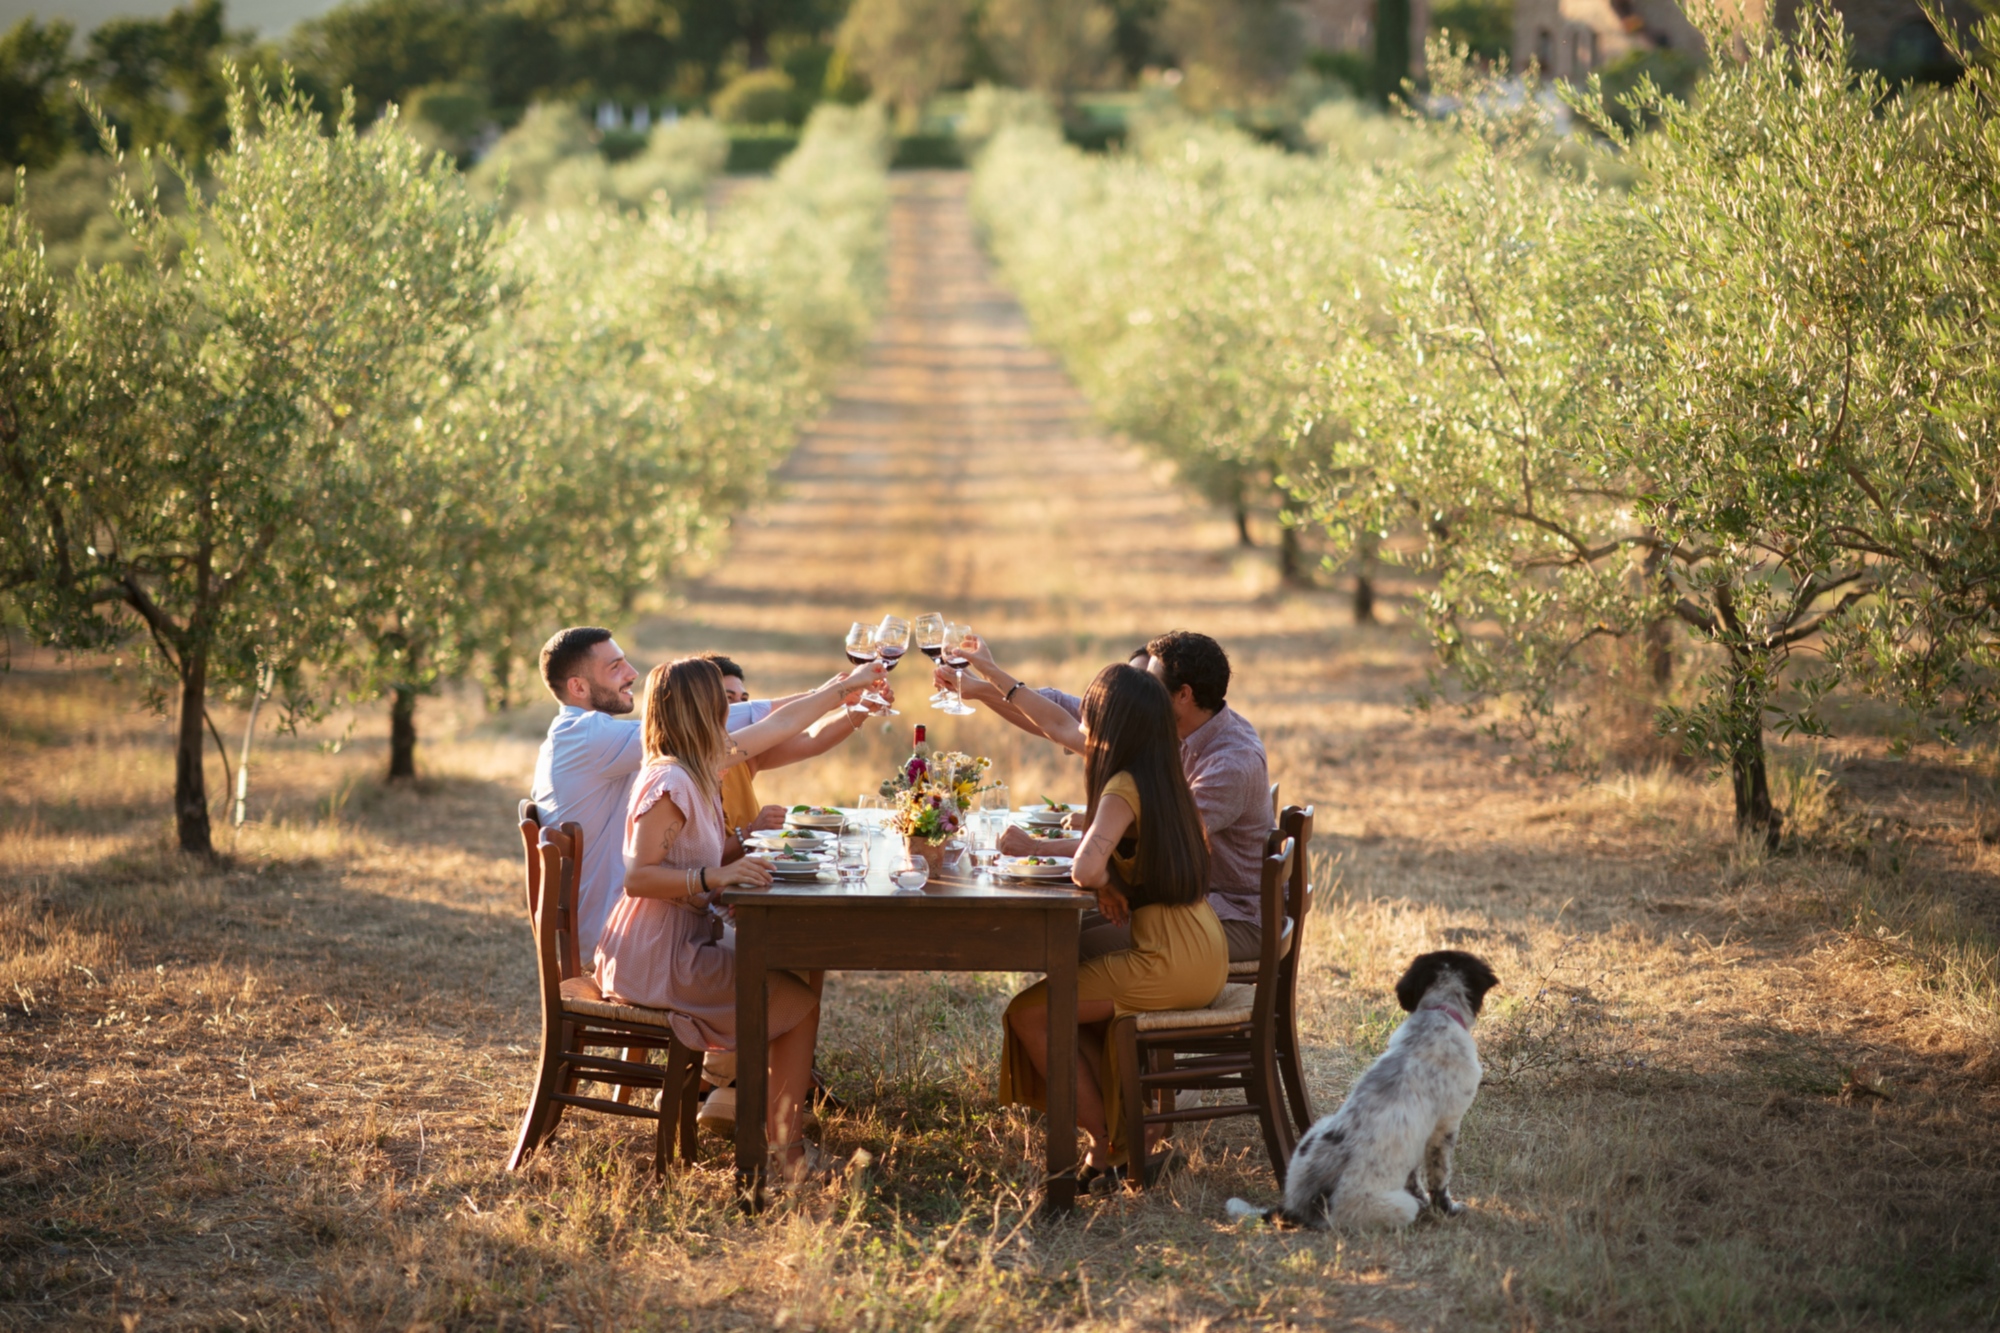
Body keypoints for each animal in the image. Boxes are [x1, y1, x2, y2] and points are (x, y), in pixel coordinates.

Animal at [1232, 944, 1504, 1224]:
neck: (1439, 1014)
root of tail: (1297, 1208)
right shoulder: (1446, 1126)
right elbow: (1440, 1177)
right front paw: (1447, 1208)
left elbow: (1413, 1176)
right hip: (1396, 1207)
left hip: (1316, 1129)